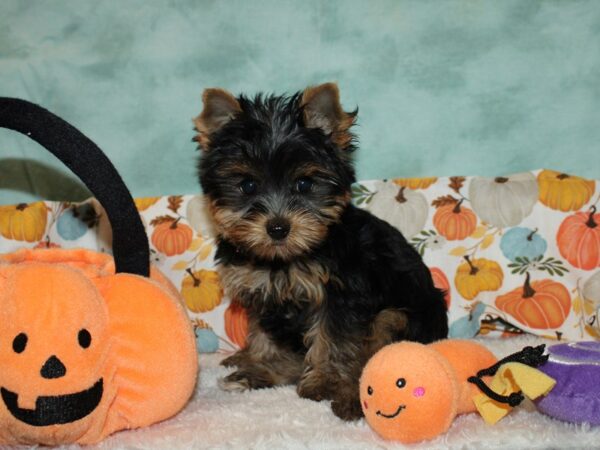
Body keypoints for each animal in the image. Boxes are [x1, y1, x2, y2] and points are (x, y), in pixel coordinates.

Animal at [195, 83, 448, 422]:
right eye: (247, 185)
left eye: (304, 184)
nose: (278, 227)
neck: (283, 259)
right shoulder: (262, 292)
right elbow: (263, 335)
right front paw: (262, 364)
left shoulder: (341, 295)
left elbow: (333, 341)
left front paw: (324, 383)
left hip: (402, 317)